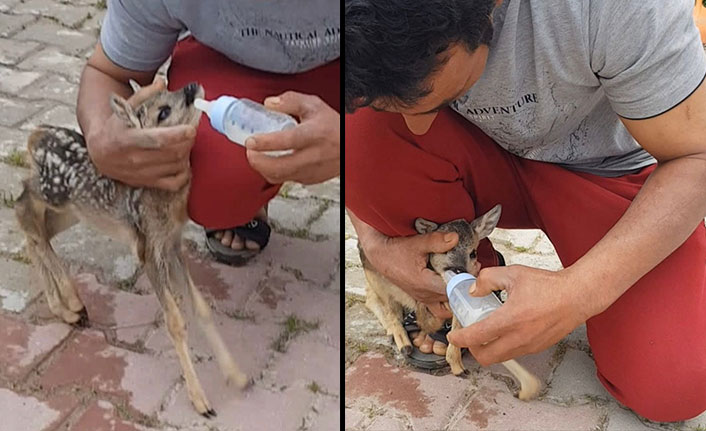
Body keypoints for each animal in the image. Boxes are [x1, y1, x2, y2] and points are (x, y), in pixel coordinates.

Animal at [13, 81, 248, 418]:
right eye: (162, 112)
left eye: (170, 86)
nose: (192, 87)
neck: (164, 197)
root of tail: (36, 135)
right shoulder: (147, 247)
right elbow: (175, 321)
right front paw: (201, 401)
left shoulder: (171, 243)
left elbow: (201, 308)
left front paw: (236, 375)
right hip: (53, 191)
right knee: (22, 208)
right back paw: (73, 301)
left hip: (76, 210)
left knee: (36, 229)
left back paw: (65, 307)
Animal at [358, 206, 540, 402]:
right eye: (444, 251)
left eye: (473, 253)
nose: (459, 269)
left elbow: (457, 328)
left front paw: (458, 367)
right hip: (375, 270)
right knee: (380, 302)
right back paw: (404, 343)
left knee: (371, 297)